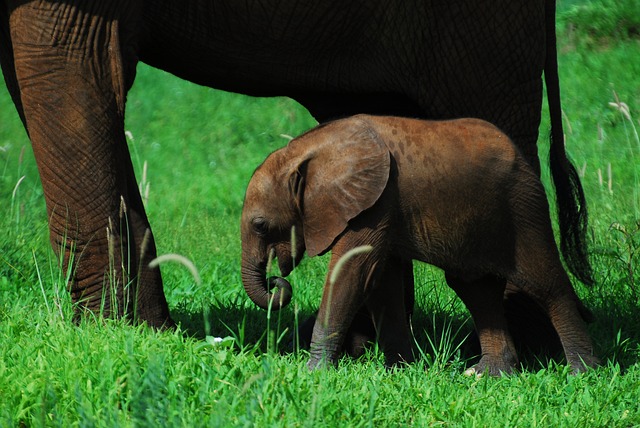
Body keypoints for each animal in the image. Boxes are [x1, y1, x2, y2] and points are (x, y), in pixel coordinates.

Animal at [239, 113, 596, 374]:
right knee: (477, 291)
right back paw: (487, 375)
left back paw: (582, 373)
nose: (275, 282)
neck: (303, 151)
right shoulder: (381, 207)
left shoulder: (375, 202)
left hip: (523, 208)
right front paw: (400, 370)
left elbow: (351, 273)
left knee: (545, 284)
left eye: (260, 225)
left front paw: (313, 372)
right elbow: (381, 282)